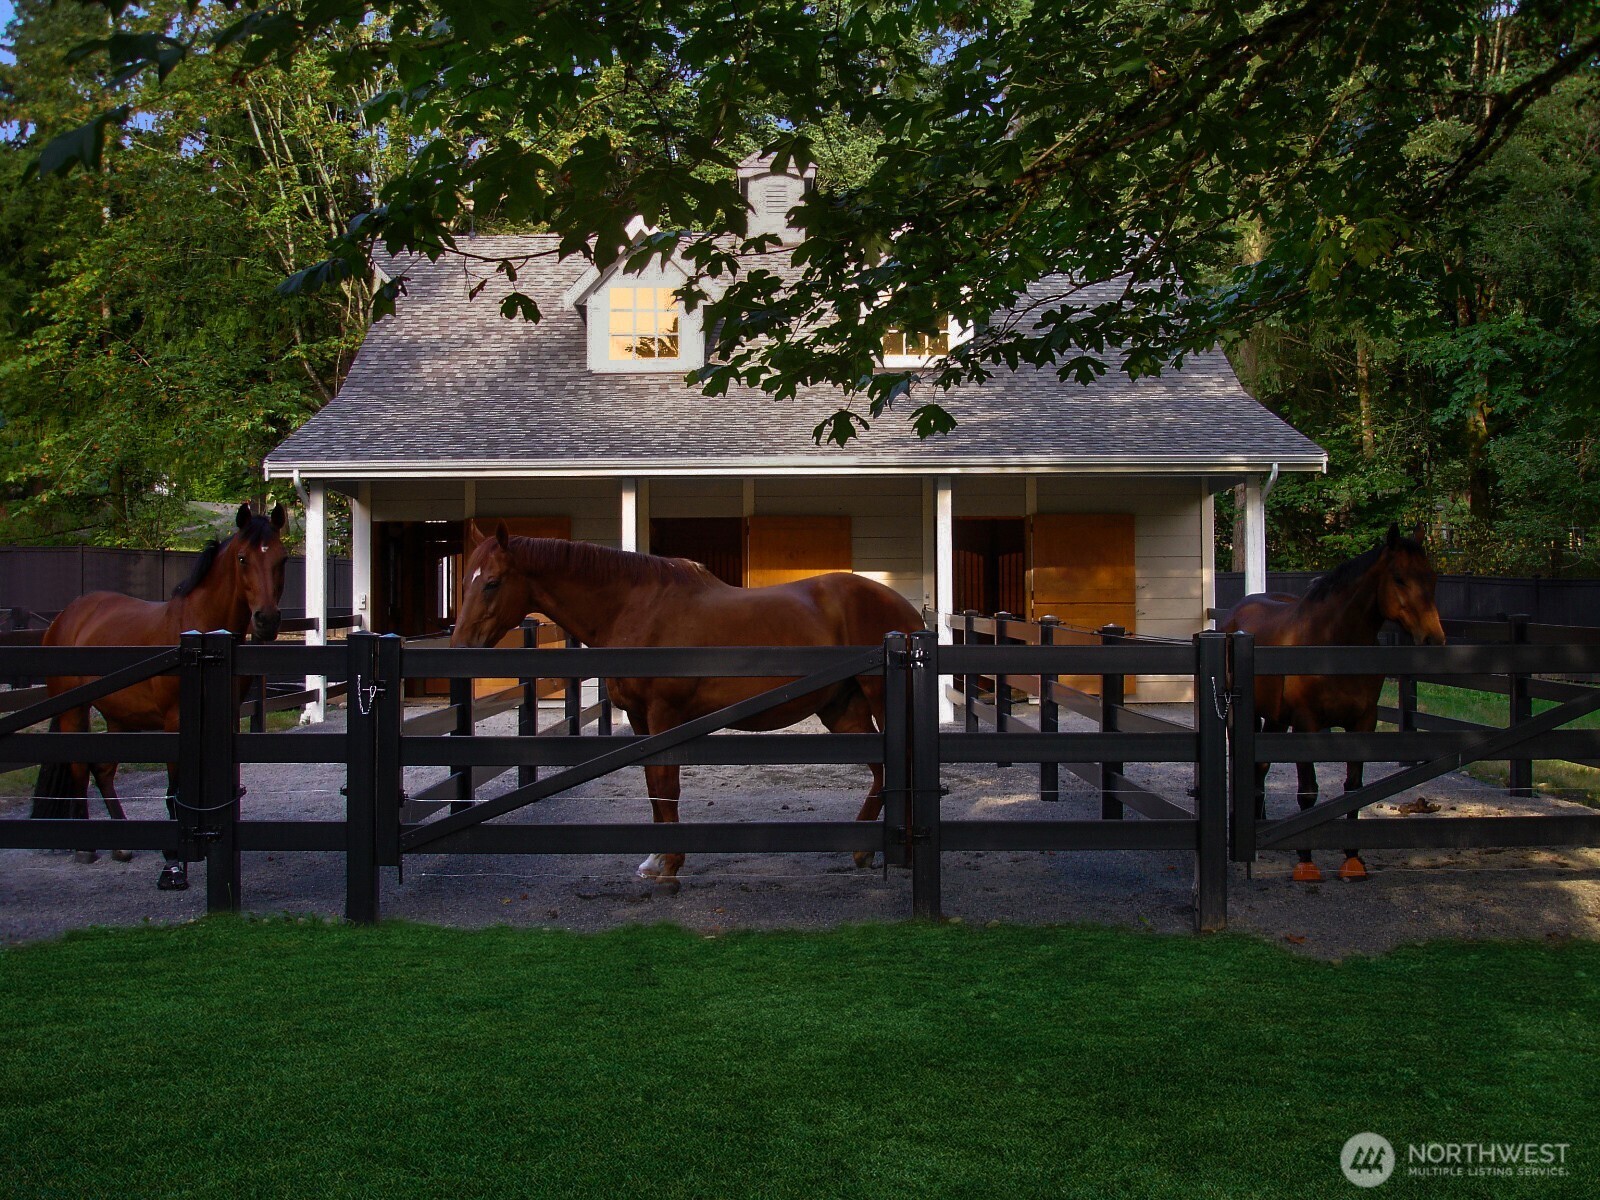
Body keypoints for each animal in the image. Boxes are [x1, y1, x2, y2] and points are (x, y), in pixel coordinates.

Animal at [33, 502, 291, 889]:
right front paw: (173, 865)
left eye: (281, 558)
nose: (266, 620)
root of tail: (66, 616)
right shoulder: (175, 722)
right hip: (74, 710)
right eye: (243, 558)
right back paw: (86, 847)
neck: (201, 634)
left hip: (120, 718)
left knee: (103, 770)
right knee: (79, 767)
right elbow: (174, 792)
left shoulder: (227, 718)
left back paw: (121, 844)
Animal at [451, 531, 928, 889]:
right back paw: (865, 850)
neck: (636, 608)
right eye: (465, 582)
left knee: (901, 764)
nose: (460, 648)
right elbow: (651, 785)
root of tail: (909, 614)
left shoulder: (664, 715)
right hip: (843, 710)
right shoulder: (640, 720)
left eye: (491, 582)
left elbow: (667, 785)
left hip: (879, 702)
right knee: (882, 771)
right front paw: (654, 859)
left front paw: (672, 865)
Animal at [1222, 524, 1452, 883]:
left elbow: (1353, 789)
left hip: (1275, 718)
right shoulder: (1306, 723)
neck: (1333, 644)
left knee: (1261, 767)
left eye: (1432, 577)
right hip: (1241, 714)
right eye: (1399, 578)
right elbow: (1308, 790)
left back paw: (1260, 823)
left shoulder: (1363, 722)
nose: (1433, 639)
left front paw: (1353, 858)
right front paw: (1305, 861)